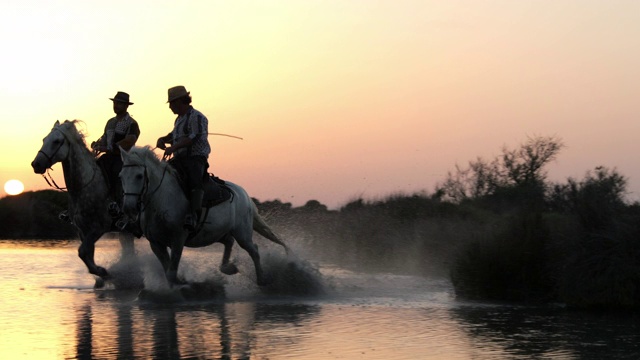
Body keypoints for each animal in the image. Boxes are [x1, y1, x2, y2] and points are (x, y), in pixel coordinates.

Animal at [31, 120, 137, 286]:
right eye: (44, 139)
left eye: (56, 141)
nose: (36, 164)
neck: (85, 186)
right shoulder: (83, 230)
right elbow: (87, 255)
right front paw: (101, 276)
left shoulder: (99, 228)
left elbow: (82, 252)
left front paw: (105, 272)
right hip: (126, 231)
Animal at [119, 145, 288, 286]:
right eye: (121, 176)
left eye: (139, 176)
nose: (128, 207)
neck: (161, 198)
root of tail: (244, 194)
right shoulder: (155, 243)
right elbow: (168, 272)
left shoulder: (178, 239)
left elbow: (172, 273)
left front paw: (183, 284)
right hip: (219, 233)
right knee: (229, 242)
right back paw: (229, 268)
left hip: (242, 233)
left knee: (254, 250)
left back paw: (261, 279)